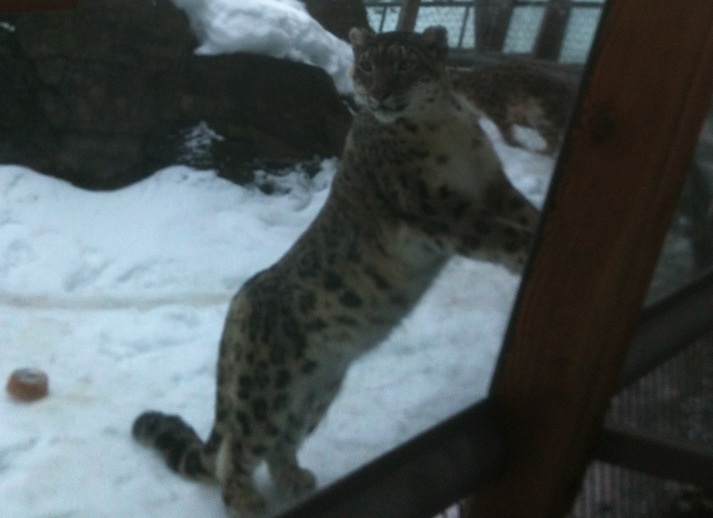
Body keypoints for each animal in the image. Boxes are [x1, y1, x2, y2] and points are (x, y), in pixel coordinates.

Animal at [132, 26, 539, 517]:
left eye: (403, 64)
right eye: (366, 65)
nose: (379, 94)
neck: (447, 127)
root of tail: (236, 308)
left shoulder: (493, 187)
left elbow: (522, 213)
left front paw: (547, 224)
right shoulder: (437, 209)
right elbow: (496, 235)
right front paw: (527, 249)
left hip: (315, 390)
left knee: (280, 441)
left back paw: (295, 480)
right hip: (264, 389)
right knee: (238, 448)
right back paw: (248, 501)